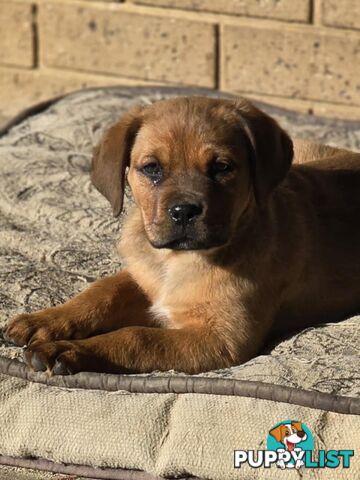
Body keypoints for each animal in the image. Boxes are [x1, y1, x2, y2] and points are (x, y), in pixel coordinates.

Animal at [3, 96, 360, 376]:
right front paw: (45, 319)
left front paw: (68, 350)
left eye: (222, 167)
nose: (185, 212)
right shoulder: (143, 277)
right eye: (151, 168)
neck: (177, 260)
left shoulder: (221, 339)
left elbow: (137, 337)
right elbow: (101, 292)